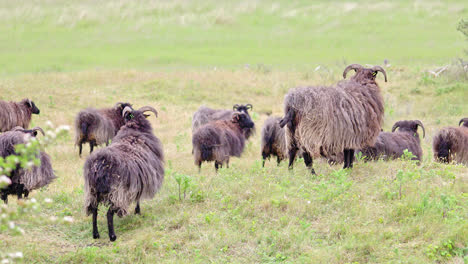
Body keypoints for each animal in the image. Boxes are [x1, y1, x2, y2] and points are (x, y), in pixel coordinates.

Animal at [83, 105, 164, 241]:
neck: (134, 130)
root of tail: (99, 166)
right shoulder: (137, 183)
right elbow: (138, 198)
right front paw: (138, 211)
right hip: (117, 193)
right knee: (109, 213)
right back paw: (112, 236)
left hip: (93, 191)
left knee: (94, 210)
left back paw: (96, 234)